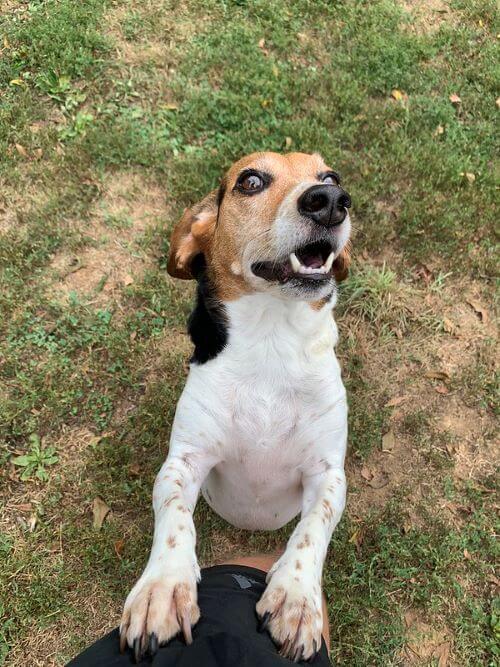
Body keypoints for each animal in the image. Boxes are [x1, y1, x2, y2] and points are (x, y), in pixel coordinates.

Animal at [120, 151, 352, 664]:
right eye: (250, 181)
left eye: (330, 176)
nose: (331, 201)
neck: (272, 341)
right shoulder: (184, 461)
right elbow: (173, 517)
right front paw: (163, 589)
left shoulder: (328, 474)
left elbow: (314, 527)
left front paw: (296, 598)